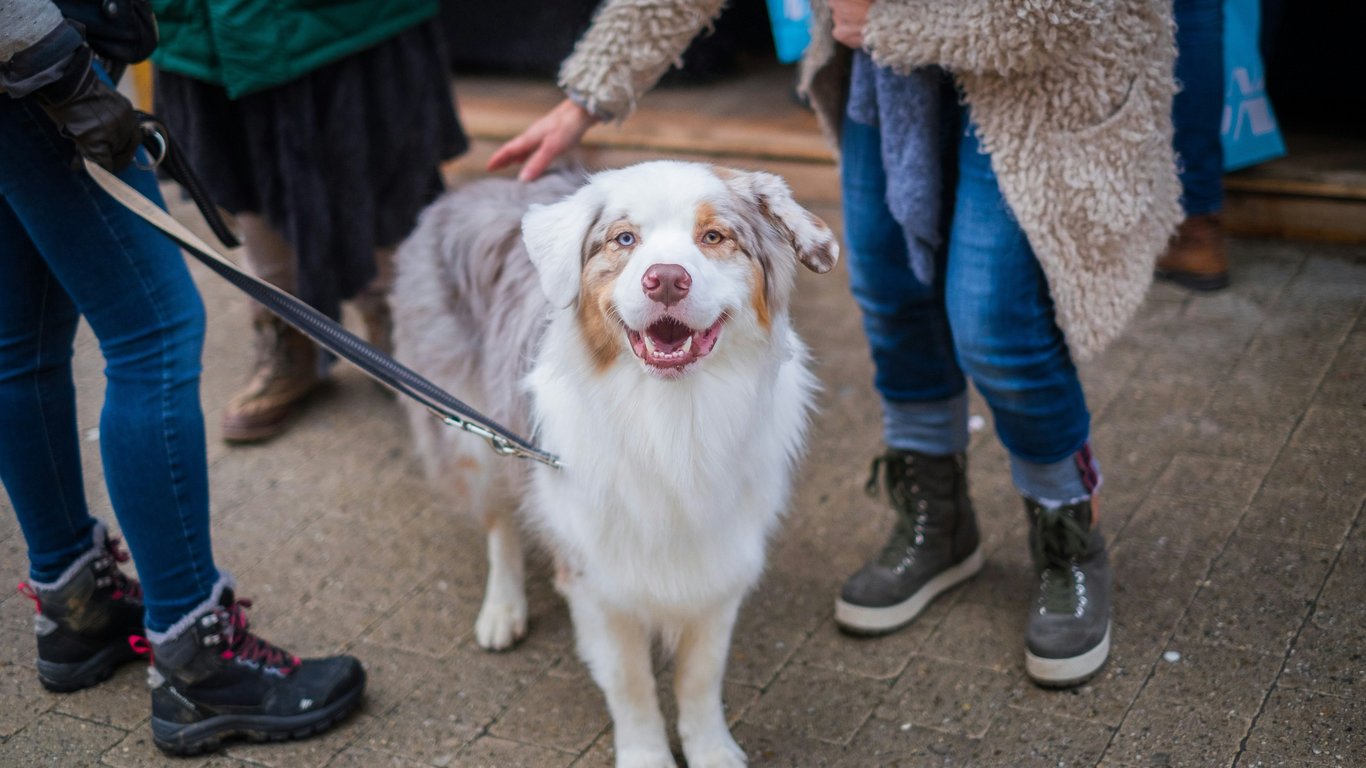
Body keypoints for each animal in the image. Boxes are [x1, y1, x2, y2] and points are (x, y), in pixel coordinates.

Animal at [390, 158, 835, 759]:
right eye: (624, 239)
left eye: (714, 237)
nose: (666, 279)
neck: (673, 418)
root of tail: (470, 189)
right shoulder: (595, 574)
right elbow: (630, 683)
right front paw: (647, 755)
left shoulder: (721, 558)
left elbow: (702, 676)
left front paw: (712, 751)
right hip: (474, 436)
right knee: (500, 523)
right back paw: (502, 610)